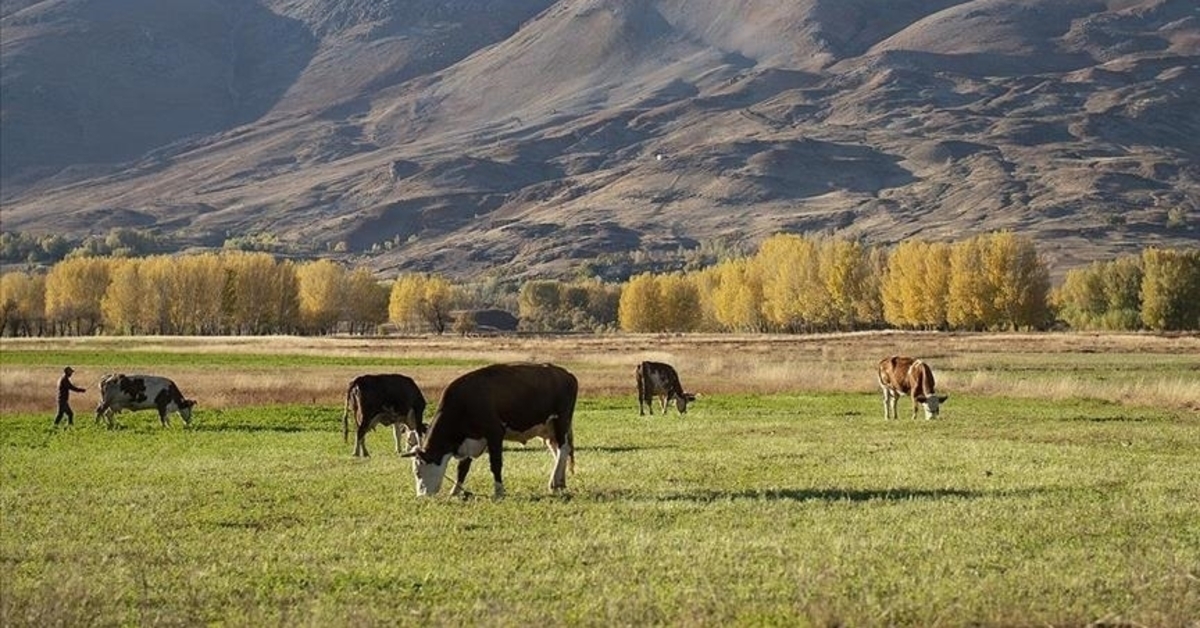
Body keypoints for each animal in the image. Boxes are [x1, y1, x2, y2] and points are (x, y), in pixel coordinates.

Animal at [405, 362, 578, 501]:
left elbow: (495, 464)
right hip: (549, 429)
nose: (421, 496)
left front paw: (499, 491)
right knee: (558, 452)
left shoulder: (495, 434)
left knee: (563, 449)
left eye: (418, 472)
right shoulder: (469, 441)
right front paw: (455, 491)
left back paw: (555, 482)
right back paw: (559, 482)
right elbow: (462, 469)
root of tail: (566, 374)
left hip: (561, 421)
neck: (465, 402)